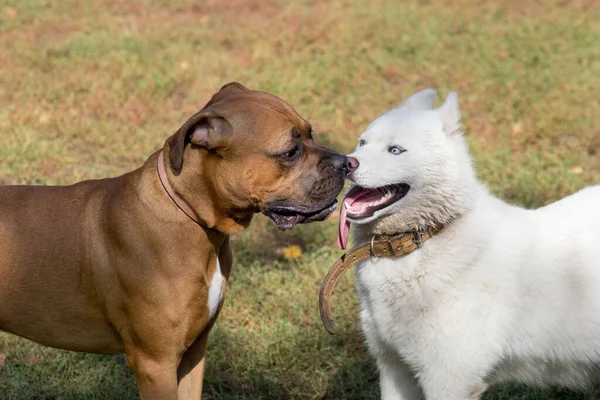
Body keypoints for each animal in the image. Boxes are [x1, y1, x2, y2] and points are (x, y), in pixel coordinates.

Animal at [0, 83, 352, 398]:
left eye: (311, 133)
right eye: (290, 152)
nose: (348, 163)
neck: (192, 219)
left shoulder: (192, 355)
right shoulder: (155, 365)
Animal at [338, 89, 600, 398]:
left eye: (395, 150)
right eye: (362, 143)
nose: (346, 163)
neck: (425, 238)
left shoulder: (449, 379)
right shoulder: (394, 369)